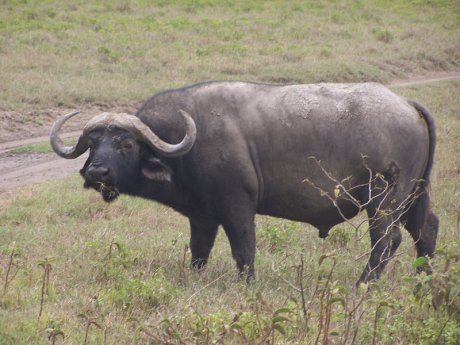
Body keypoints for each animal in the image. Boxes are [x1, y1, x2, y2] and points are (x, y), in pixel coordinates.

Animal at [50, 80, 438, 282]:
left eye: (125, 144)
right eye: (93, 143)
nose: (96, 172)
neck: (189, 138)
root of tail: (407, 104)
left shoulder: (237, 207)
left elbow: (243, 249)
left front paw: (247, 285)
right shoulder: (202, 216)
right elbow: (199, 252)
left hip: (384, 200)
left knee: (386, 241)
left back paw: (363, 284)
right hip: (414, 197)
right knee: (426, 230)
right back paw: (424, 280)